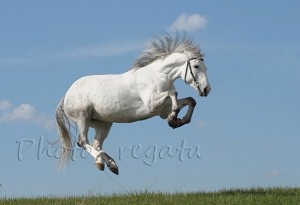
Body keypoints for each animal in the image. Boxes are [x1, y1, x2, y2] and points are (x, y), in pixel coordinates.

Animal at [56, 34, 211, 175]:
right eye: (196, 66)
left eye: (205, 68)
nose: (206, 89)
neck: (158, 76)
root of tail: (66, 95)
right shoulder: (151, 104)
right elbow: (173, 94)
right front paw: (173, 118)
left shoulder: (162, 109)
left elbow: (190, 100)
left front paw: (177, 121)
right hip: (83, 117)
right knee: (83, 142)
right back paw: (102, 162)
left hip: (102, 123)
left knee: (97, 145)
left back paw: (109, 164)